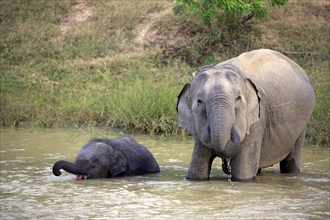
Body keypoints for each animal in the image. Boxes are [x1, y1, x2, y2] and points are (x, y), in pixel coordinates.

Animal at [177, 49, 316, 181]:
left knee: (290, 163)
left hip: (303, 123)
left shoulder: (258, 119)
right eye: (199, 102)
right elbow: (196, 171)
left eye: (238, 98)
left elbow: (242, 174)